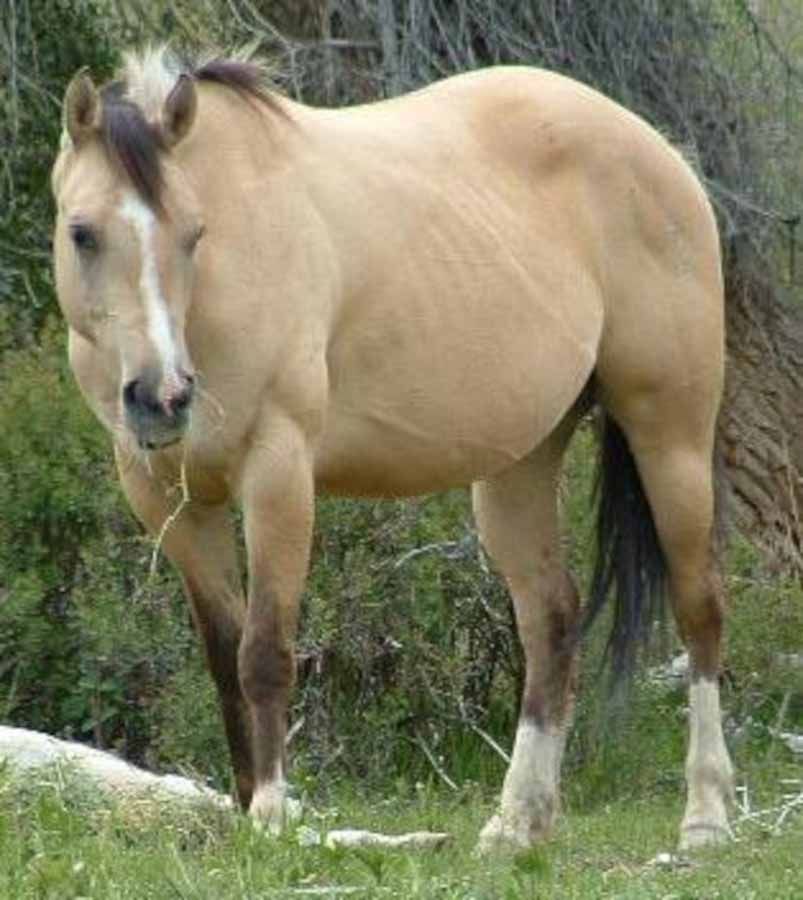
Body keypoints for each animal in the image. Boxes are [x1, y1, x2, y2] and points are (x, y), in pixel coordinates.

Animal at [51, 46, 733, 852]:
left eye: (193, 233)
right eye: (82, 233)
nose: (162, 396)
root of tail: (662, 153)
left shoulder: (277, 473)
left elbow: (264, 652)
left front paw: (272, 814)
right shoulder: (167, 498)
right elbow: (222, 656)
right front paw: (245, 808)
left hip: (671, 436)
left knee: (699, 610)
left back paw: (705, 818)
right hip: (518, 467)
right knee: (551, 621)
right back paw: (516, 823)